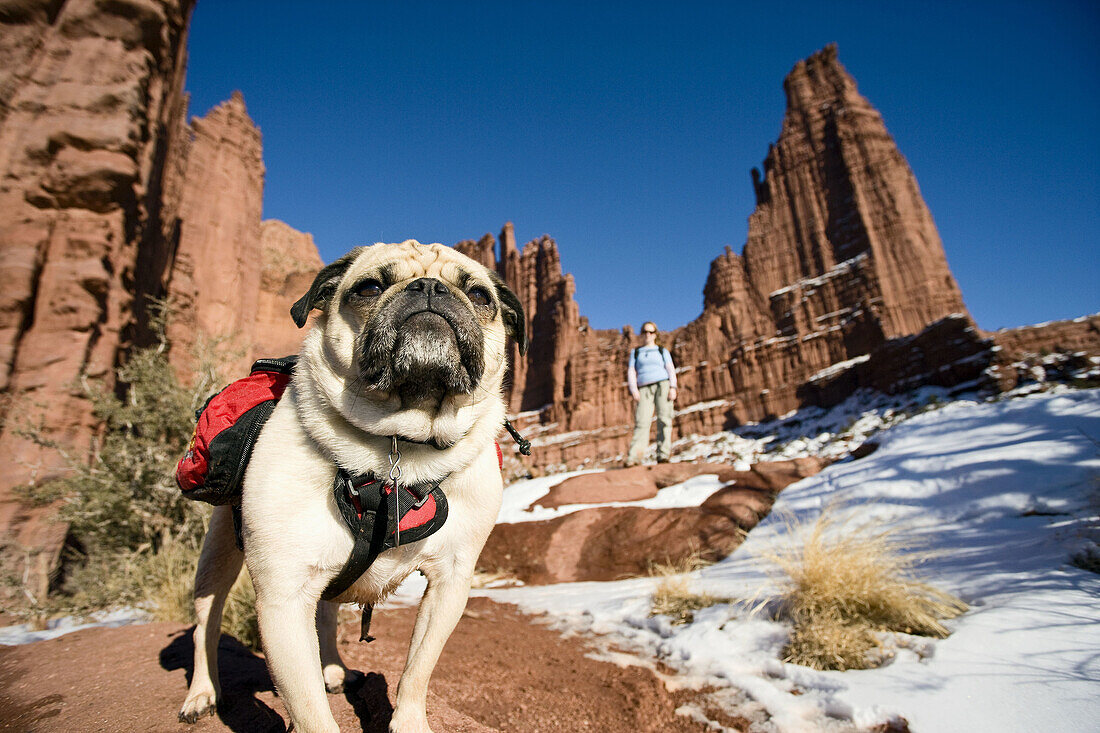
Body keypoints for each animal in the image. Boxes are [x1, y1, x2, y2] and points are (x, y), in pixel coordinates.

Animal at [177, 241, 528, 730]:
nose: (429, 287)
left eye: (479, 295)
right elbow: (308, 710)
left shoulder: (451, 582)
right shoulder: (283, 596)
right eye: (368, 288)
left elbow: (417, 670)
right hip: (219, 555)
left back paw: (333, 670)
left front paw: (409, 721)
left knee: (325, 615)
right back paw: (202, 693)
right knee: (206, 622)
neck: (399, 446)